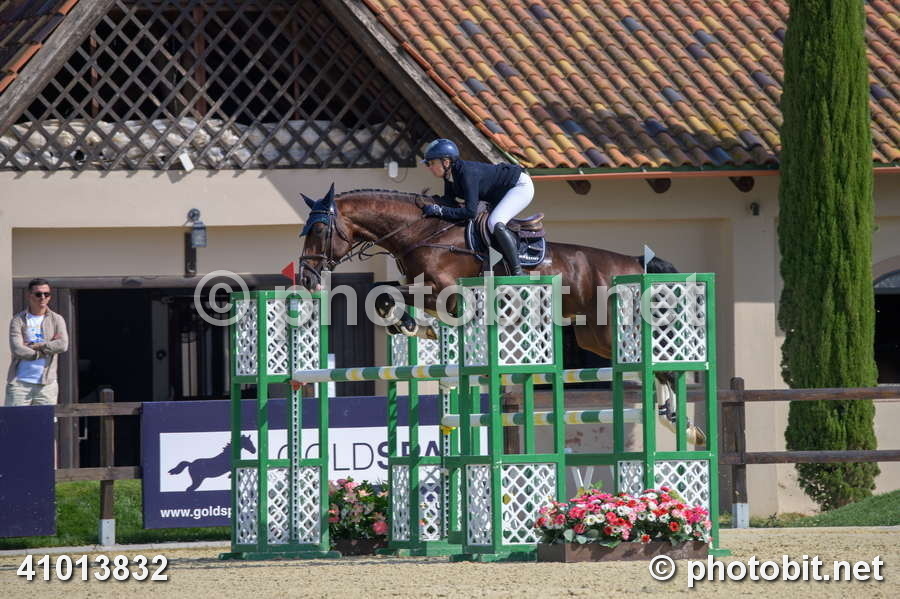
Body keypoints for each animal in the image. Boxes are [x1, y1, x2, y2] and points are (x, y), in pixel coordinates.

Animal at [296, 184, 703, 444]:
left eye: (319, 229)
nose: (306, 277)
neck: (423, 231)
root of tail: (634, 262)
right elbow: (385, 295)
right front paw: (412, 326)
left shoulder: (448, 293)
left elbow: (390, 294)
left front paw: (413, 325)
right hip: (594, 337)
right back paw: (674, 419)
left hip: (608, 332)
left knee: (661, 364)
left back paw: (684, 425)